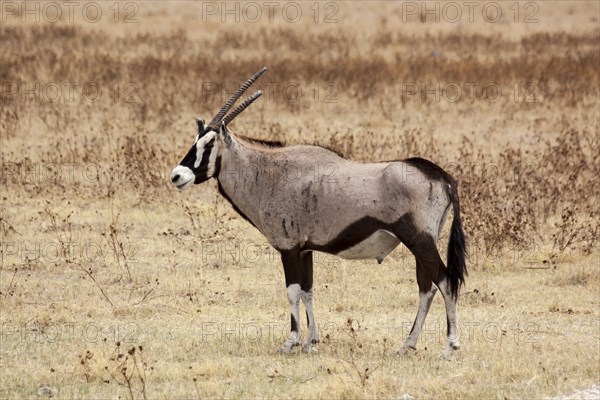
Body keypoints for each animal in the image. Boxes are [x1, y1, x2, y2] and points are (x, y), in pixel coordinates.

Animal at [171, 69, 466, 356]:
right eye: (195, 141)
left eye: (209, 145)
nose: (177, 176)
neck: (267, 173)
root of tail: (442, 177)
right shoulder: (305, 250)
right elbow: (308, 291)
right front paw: (311, 341)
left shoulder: (289, 248)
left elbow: (292, 291)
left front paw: (290, 342)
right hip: (420, 244)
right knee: (427, 288)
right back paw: (407, 345)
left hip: (419, 241)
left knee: (445, 282)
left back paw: (450, 345)